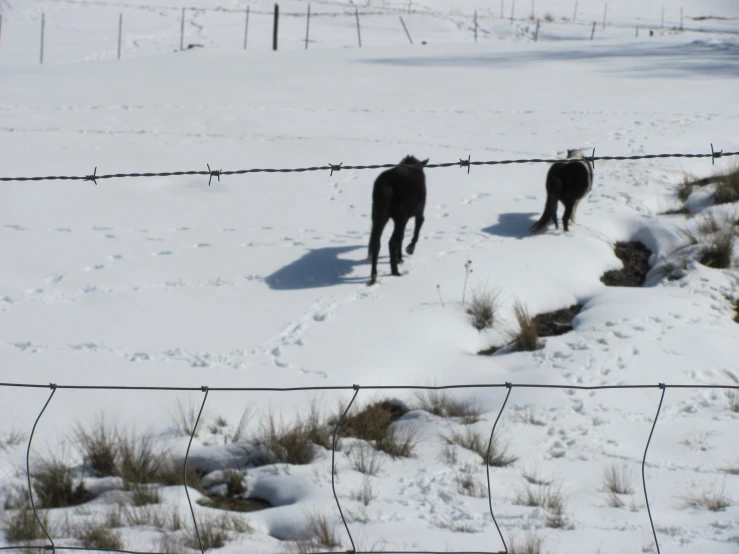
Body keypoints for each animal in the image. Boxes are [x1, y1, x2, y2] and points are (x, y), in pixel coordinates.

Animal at [368, 155, 428, 284]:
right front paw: (409, 249)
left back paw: (374, 275)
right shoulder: (418, 215)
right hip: (400, 218)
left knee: (377, 243)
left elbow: (401, 237)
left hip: (379, 216)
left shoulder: (401, 220)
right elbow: (415, 233)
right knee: (392, 242)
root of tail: (387, 183)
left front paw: (399, 258)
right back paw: (395, 271)